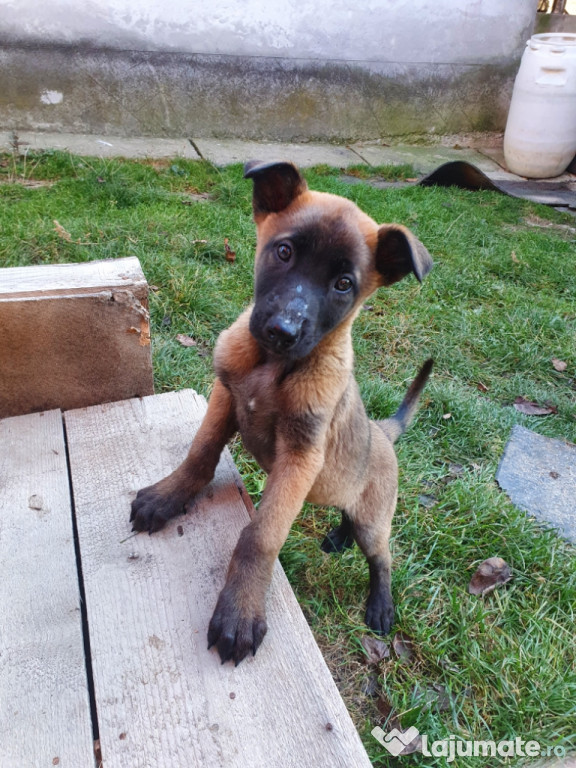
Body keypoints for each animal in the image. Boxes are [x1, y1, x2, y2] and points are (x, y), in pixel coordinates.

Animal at [132, 162, 432, 664]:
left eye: (344, 284)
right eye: (285, 251)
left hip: (375, 517)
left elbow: (260, 535)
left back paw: (380, 606)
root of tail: (381, 432)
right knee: (347, 515)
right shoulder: (225, 398)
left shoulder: (300, 456)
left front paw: (239, 612)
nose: (282, 330)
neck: (272, 367)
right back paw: (338, 538)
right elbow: (200, 454)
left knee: (381, 556)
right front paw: (167, 497)